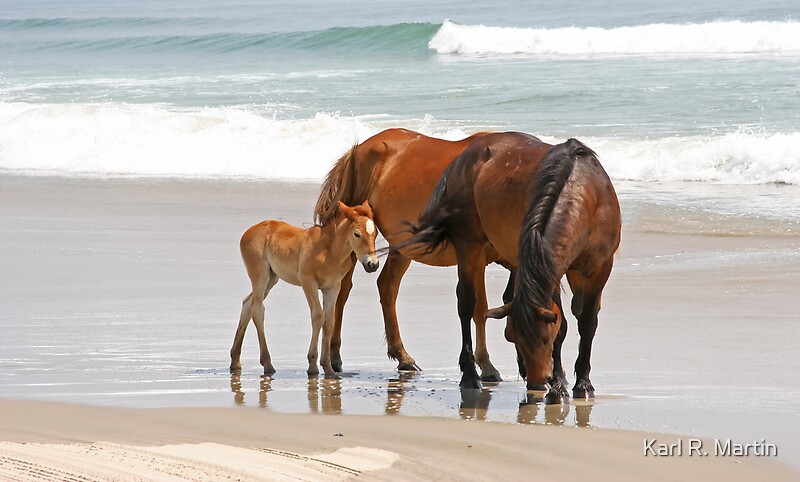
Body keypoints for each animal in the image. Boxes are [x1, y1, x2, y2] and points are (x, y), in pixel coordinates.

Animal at [231, 201, 382, 378]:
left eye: (375, 233)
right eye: (357, 234)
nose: (372, 264)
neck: (329, 250)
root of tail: (248, 232)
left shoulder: (333, 287)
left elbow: (329, 321)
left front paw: (328, 369)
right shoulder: (308, 282)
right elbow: (318, 316)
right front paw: (313, 365)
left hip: (272, 278)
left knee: (247, 304)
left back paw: (235, 361)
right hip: (260, 276)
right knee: (257, 310)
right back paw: (267, 364)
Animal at [316, 127, 510, 380]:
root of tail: (358, 150)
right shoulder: (474, 258)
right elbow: (479, 308)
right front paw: (485, 364)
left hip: (403, 248)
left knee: (386, 286)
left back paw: (402, 356)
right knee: (343, 290)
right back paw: (335, 355)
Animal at [404, 130, 620, 398]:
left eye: (544, 339)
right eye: (511, 338)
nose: (537, 382)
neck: (587, 196)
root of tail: (465, 153)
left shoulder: (599, 269)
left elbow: (587, 322)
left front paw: (582, 383)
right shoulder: (552, 272)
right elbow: (563, 324)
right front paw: (558, 384)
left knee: (509, 297)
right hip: (469, 246)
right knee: (466, 303)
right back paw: (470, 375)